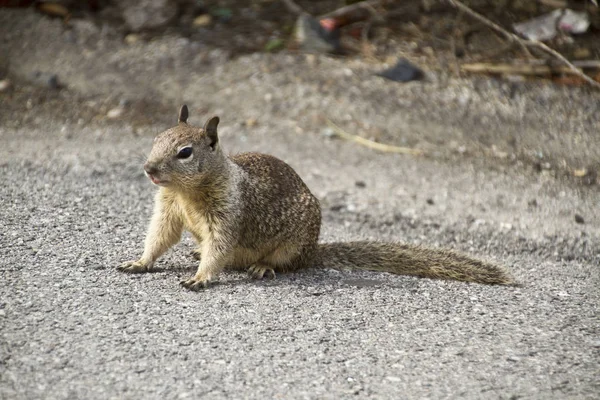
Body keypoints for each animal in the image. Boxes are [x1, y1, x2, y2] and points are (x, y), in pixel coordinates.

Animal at [118, 104, 516, 290]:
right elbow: (160, 236)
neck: (186, 192)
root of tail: (313, 250)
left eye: (185, 153)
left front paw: (201, 277)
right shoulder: (168, 209)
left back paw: (262, 267)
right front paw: (140, 262)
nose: (149, 169)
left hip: (293, 246)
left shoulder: (228, 213)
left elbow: (220, 246)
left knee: (283, 264)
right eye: (156, 138)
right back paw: (196, 251)